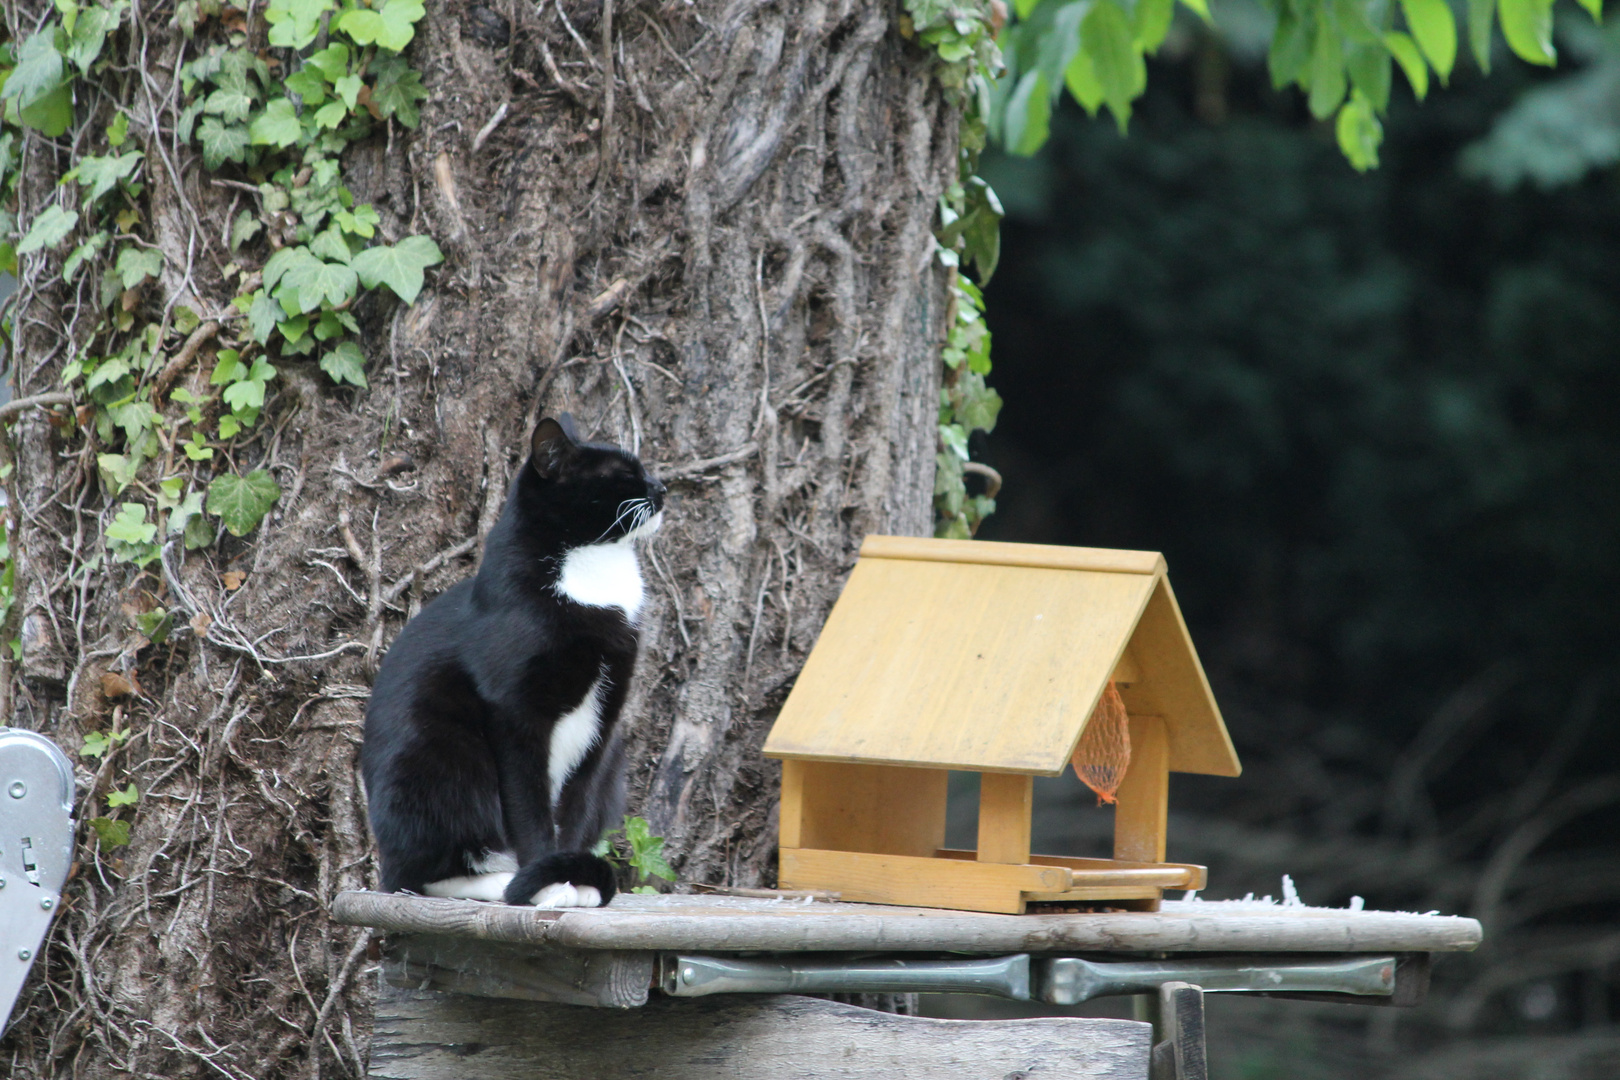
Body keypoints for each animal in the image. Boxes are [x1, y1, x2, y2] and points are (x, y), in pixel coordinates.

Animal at [366, 417, 664, 906]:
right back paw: (499, 881)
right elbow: (530, 811)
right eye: (622, 474)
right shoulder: (514, 712)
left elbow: (576, 807)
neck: (592, 571)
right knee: (421, 873)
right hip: (440, 754)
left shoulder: (605, 718)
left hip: (615, 764)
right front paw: (548, 882)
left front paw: (571, 876)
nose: (661, 486)